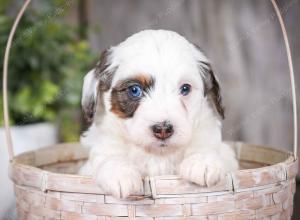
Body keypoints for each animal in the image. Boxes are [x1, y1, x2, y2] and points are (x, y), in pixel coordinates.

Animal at [79, 29, 239, 199]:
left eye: (185, 88)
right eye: (134, 90)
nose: (163, 129)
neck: (158, 156)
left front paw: (202, 161)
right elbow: (109, 156)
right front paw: (120, 173)